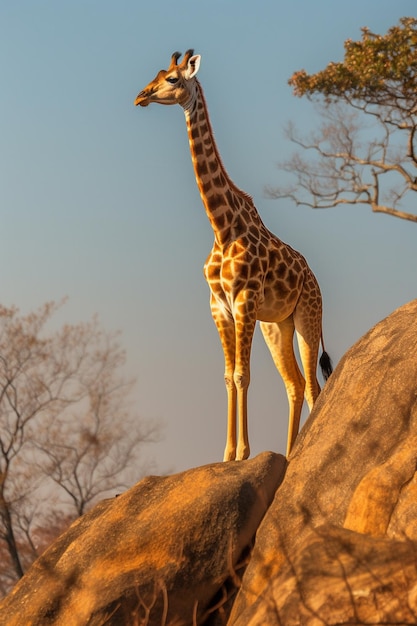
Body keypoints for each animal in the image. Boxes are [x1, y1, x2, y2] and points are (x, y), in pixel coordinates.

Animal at [134, 50, 332, 458]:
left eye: (173, 79)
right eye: (157, 74)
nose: (141, 96)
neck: (222, 228)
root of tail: (316, 281)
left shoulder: (244, 300)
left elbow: (242, 374)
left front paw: (242, 453)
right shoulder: (219, 306)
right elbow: (228, 376)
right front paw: (226, 455)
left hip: (307, 315)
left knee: (312, 384)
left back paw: (296, 451)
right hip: (277, 325)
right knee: (295, 382)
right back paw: (289, 451)